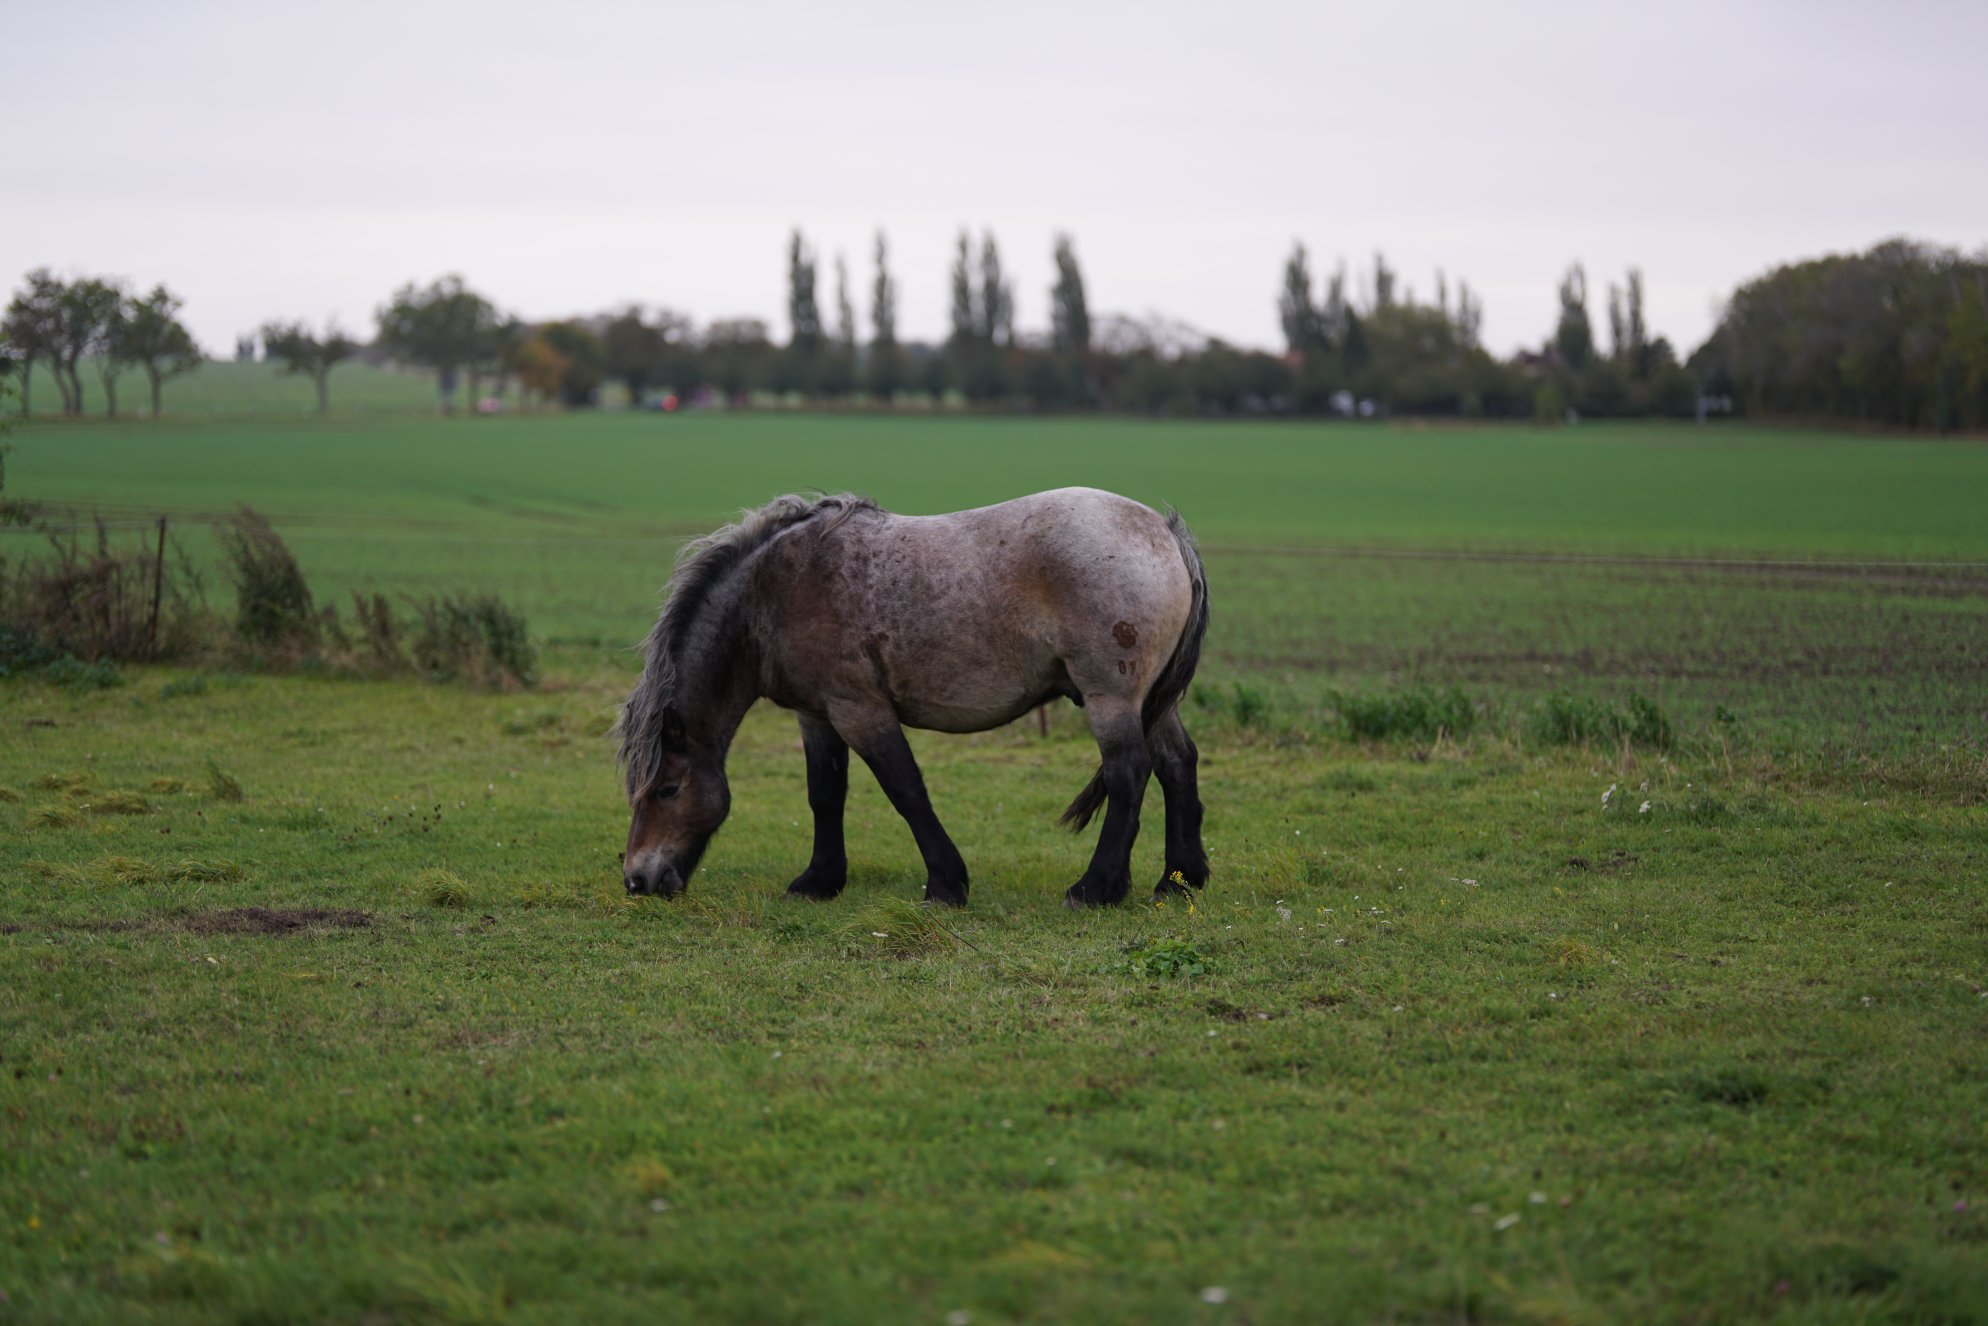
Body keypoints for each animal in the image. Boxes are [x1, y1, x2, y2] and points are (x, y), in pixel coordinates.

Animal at [614, 487, 1210, 909]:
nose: (637, 879)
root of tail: (1164, 531)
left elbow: (906, 792)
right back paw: (1179, 880)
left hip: (1110, 698)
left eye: (668, 789)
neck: (774, 591)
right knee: (1177, 764)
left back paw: (1095, 889)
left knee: (1129, 775)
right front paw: (819, 881)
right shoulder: (817, 716)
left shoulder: (860, 711)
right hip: (1151, 704)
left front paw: (946, 885)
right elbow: (824, 794)